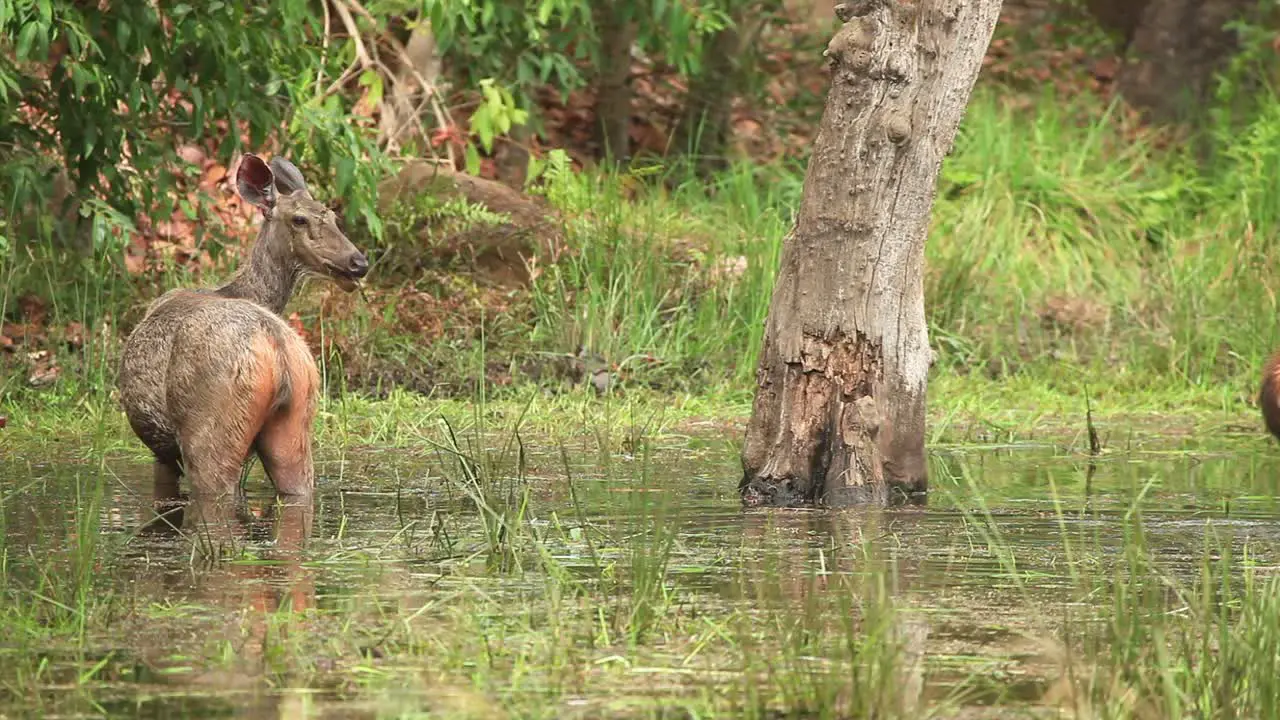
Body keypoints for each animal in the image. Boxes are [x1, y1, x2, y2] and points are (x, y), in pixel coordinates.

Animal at [118, 153, 368, 497]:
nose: (358, 263)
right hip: (294, 426)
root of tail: (277, 350)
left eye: (330, 217)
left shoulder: (162, 452)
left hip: (210, 430)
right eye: (300, 219)